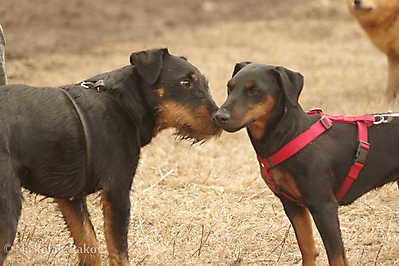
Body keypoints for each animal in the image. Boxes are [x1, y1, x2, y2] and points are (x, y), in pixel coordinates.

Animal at [0, 48, 222, 266]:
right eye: (185, 83)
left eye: (206, 84)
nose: (219, 118)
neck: (123, 103)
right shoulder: (117, 191)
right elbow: (119, 253)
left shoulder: (71, 197)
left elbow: (90, 245)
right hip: (8, 211)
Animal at [214, 61, 399, 264]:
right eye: (229, 87)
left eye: (254, 90)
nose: (219, 116)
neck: (288, 135)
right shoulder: (291, 204)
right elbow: (307, 247)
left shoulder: (323, 205)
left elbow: (337, 257)